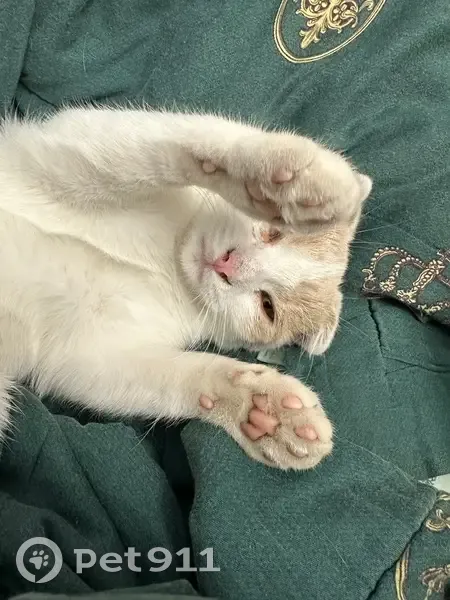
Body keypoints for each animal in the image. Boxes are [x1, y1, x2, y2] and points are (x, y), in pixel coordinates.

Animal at [0, 107, 372, 470]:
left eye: (268, 307)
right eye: (274, 233)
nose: (227, 265)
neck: (171, 260)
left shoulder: (86, 354)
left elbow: (168, 377)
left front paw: (262, 411)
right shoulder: (60, 152)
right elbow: (157, 147)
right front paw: (277, 180)